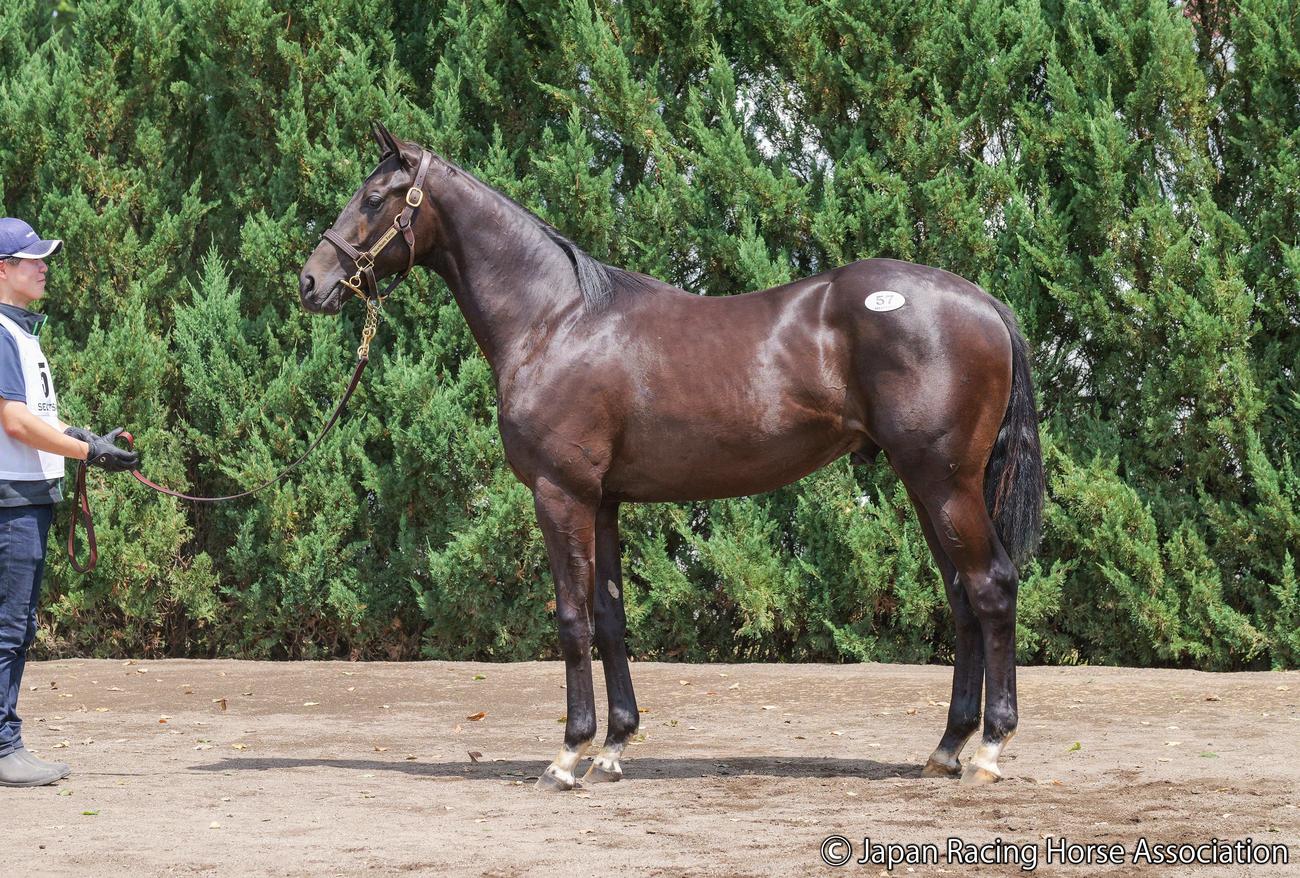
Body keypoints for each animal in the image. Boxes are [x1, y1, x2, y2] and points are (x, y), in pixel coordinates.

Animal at [298, 122, 1044, 790]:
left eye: (374, 197)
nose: (310, 282)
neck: (555, 322)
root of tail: (984, 302)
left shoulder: (560, 493)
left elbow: (570, 620)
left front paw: (568, 755)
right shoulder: (601, 501)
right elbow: (609, 619)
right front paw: (613, 747)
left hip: (943, 481)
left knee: (991, 586)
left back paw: (988, 751)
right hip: (926, 485)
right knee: (960, 596)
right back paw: (946, 748)